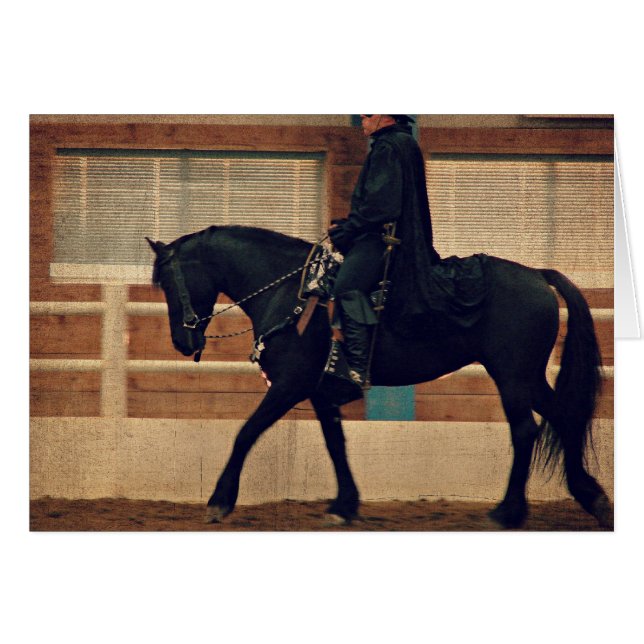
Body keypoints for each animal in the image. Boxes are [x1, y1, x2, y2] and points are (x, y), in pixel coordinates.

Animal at [146, 225, 613, 530]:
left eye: (168, 281)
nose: (182, 341)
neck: (290, 295)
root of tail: (538, 275)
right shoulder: (320, 393)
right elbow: (336, 443)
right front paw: (344, 504)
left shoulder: (289, 386)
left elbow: (246, 432)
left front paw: (219, 501)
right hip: (528, 377)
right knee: (564, 417)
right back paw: (592, 497)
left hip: (512, 376)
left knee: (525, 430)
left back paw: (509, 511)